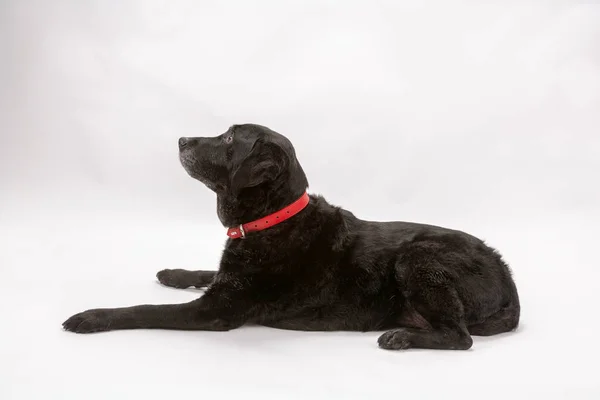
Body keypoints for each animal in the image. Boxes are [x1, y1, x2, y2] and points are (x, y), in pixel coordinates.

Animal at [62, 124, 520, 350]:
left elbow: (142, 309)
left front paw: (91, 317)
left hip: (419, 258)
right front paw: (173, 273)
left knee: (460, 338)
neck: (271, 219)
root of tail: (508, 279)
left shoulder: (216, 310)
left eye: (230, 138)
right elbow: (207, 270)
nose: (181, 139)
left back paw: (402, 337)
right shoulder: (226, 278)